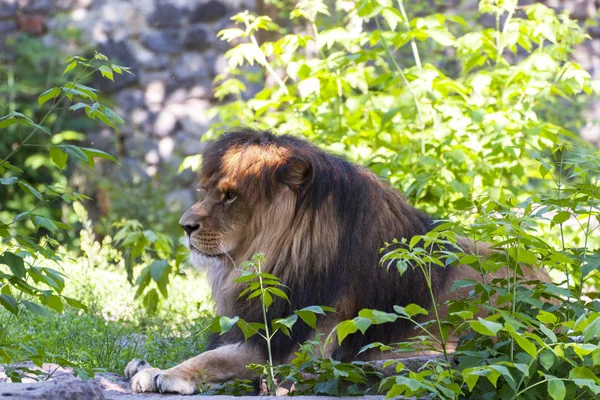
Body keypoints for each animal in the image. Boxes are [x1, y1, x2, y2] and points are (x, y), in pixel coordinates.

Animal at [124, 128, 552, 394]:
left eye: (230, 196)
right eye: (208, 191)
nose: (184, 226)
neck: (276, 260)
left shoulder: (302, 351)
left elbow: (215, 358)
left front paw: (166, 374)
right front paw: (146, 365)